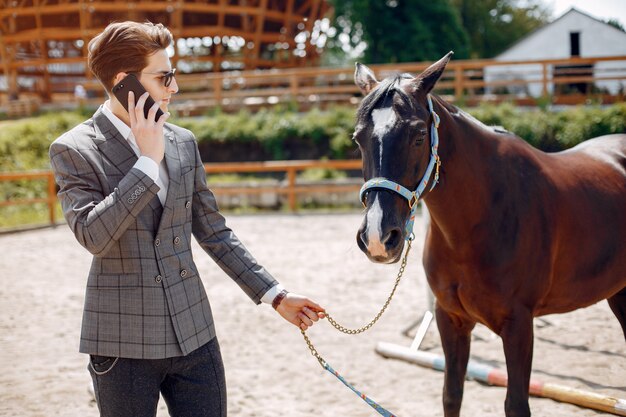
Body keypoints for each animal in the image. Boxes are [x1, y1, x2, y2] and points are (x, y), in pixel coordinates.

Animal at [352, 52, 624, 416]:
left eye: (419, 135)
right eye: (358, 139)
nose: (379, 237)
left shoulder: (519, 326)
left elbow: (516, 404)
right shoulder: (450, 319)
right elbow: (451, 395)